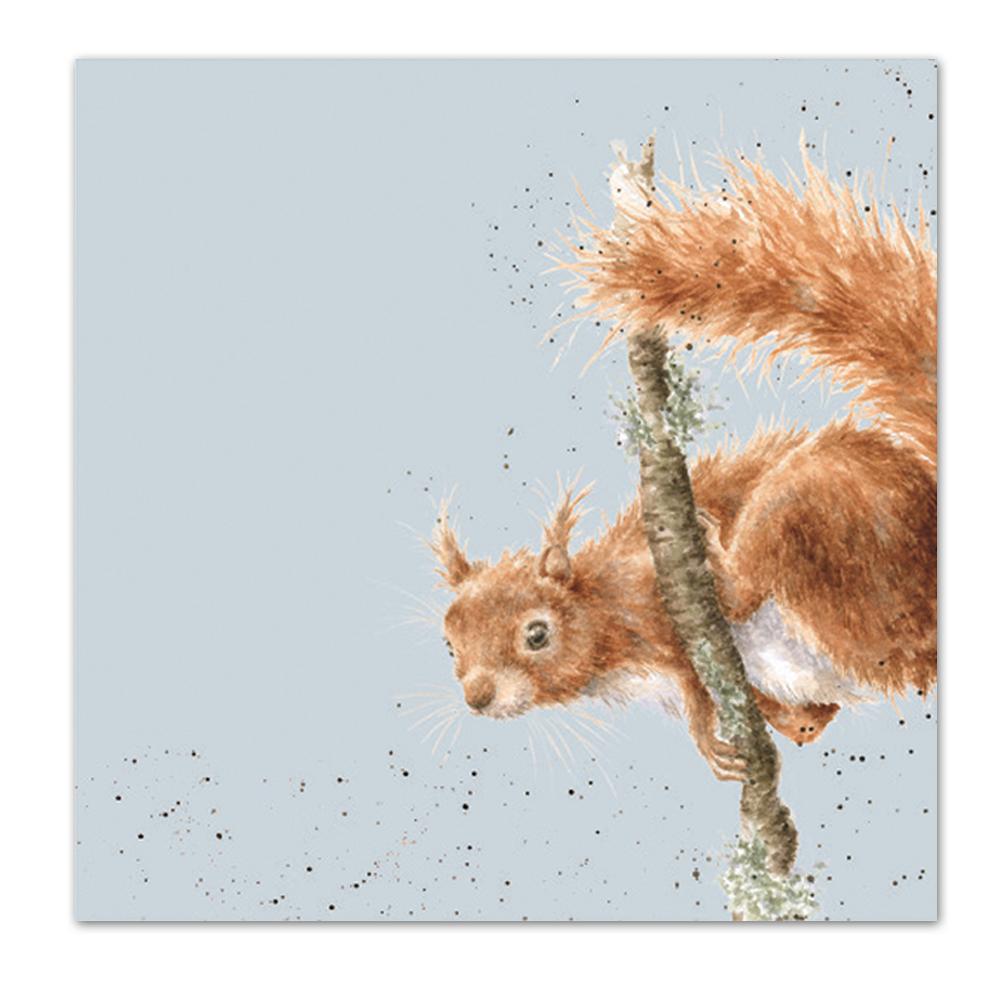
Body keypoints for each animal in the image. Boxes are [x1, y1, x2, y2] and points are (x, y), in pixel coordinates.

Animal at [430, 145, 936, 781]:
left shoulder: (655, 602)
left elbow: (696, 679)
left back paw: (719, 559)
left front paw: (706, 736)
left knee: (752, 584)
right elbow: (803, 720)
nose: (477, 697)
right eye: (449, 642)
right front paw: (772, 725)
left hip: (814, 518)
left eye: (537, 635)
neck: (602, 611)